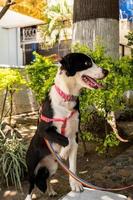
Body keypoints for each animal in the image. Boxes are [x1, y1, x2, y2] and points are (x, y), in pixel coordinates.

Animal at [25, 52, 108, 199]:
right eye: (87, 63)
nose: (106, 71)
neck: (67, 98)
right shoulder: (43, 129)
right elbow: (63, 138)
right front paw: (64, 152)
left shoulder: (75, 136)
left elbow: (73, 166)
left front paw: (75, 184)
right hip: (32, 166)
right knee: (31, 183)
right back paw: (29, 196)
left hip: (52, 167)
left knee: (47, 178)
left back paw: (51, 191)